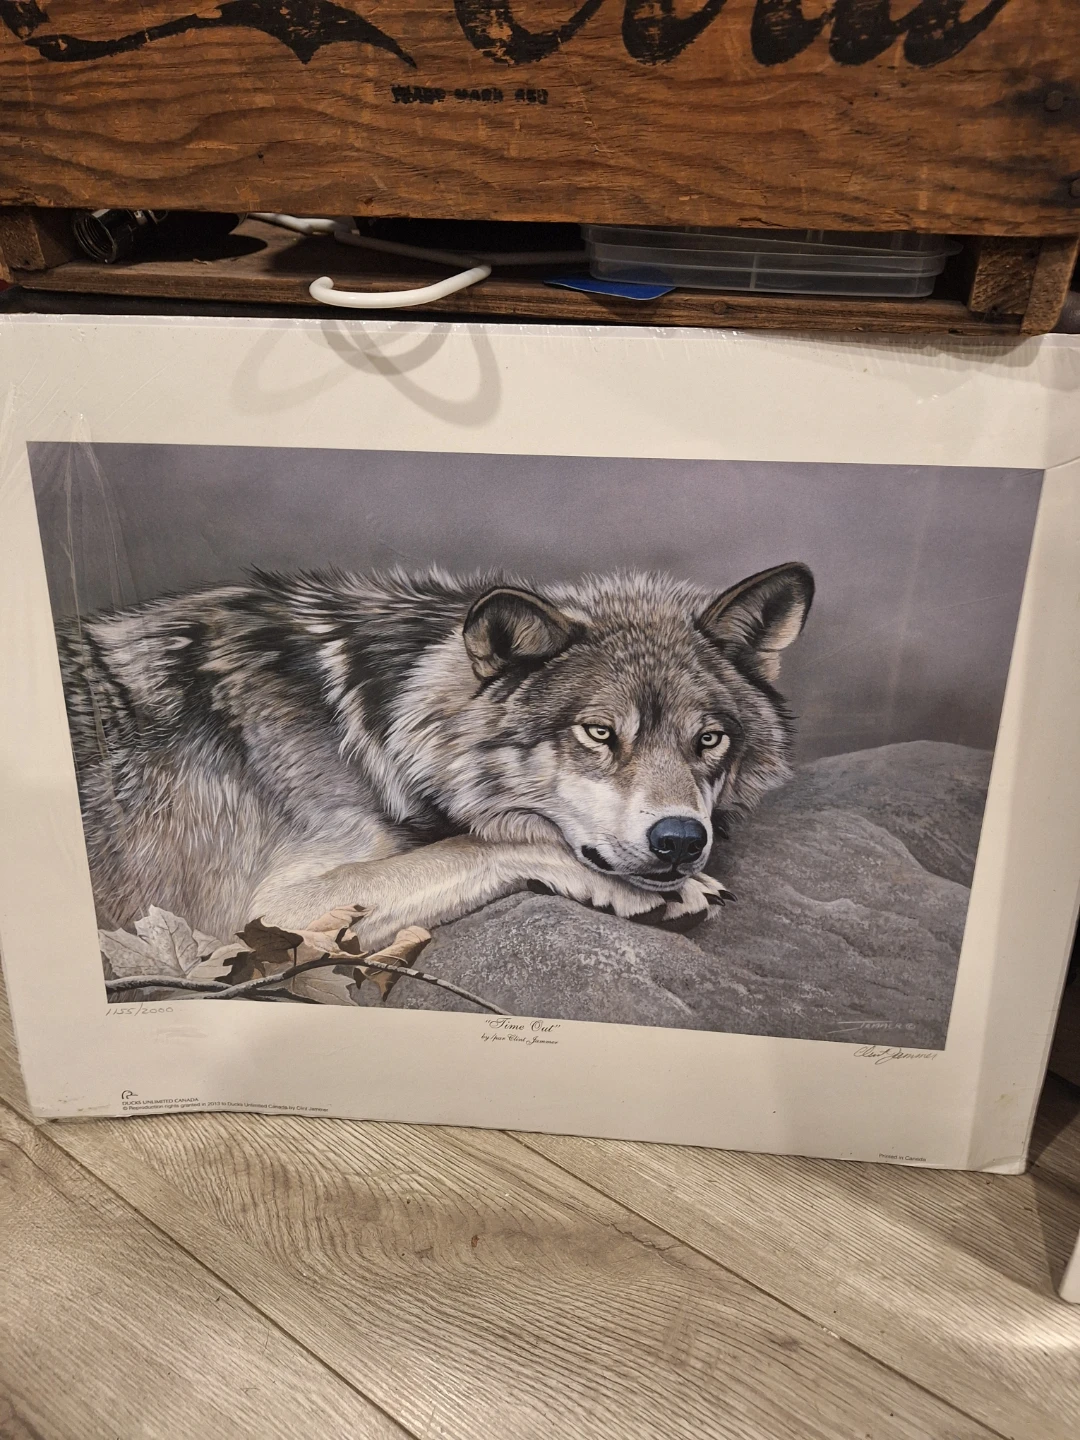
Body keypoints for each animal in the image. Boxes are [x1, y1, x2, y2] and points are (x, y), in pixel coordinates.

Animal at [57, 561, 814, 953]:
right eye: (599, 733)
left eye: (708, 740)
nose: (681, 841)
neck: (369, 726)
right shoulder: (262, 914)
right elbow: (482, 844)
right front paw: (655, 891)